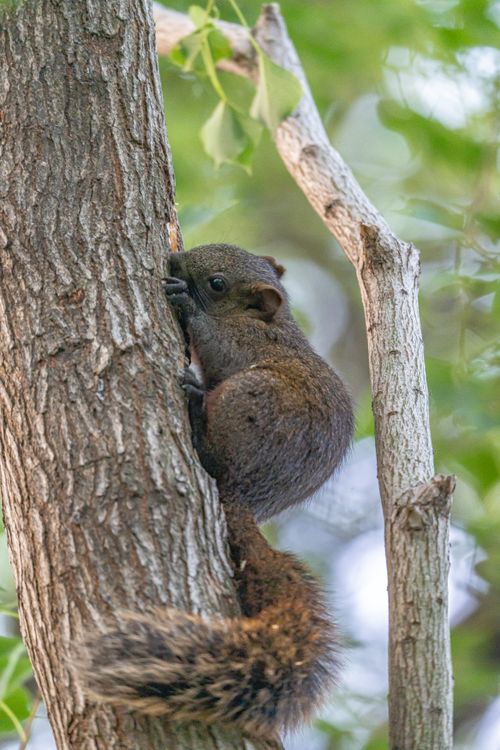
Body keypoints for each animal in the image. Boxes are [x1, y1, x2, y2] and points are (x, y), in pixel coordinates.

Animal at [80, 243, 354, 738]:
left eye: (217, 284)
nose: (175, 260)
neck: (270, 321)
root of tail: (245, 495)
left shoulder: (245, 344)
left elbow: (216, 344)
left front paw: (185, 303)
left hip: (248, 400)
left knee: (213, 453)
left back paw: (194, 407)